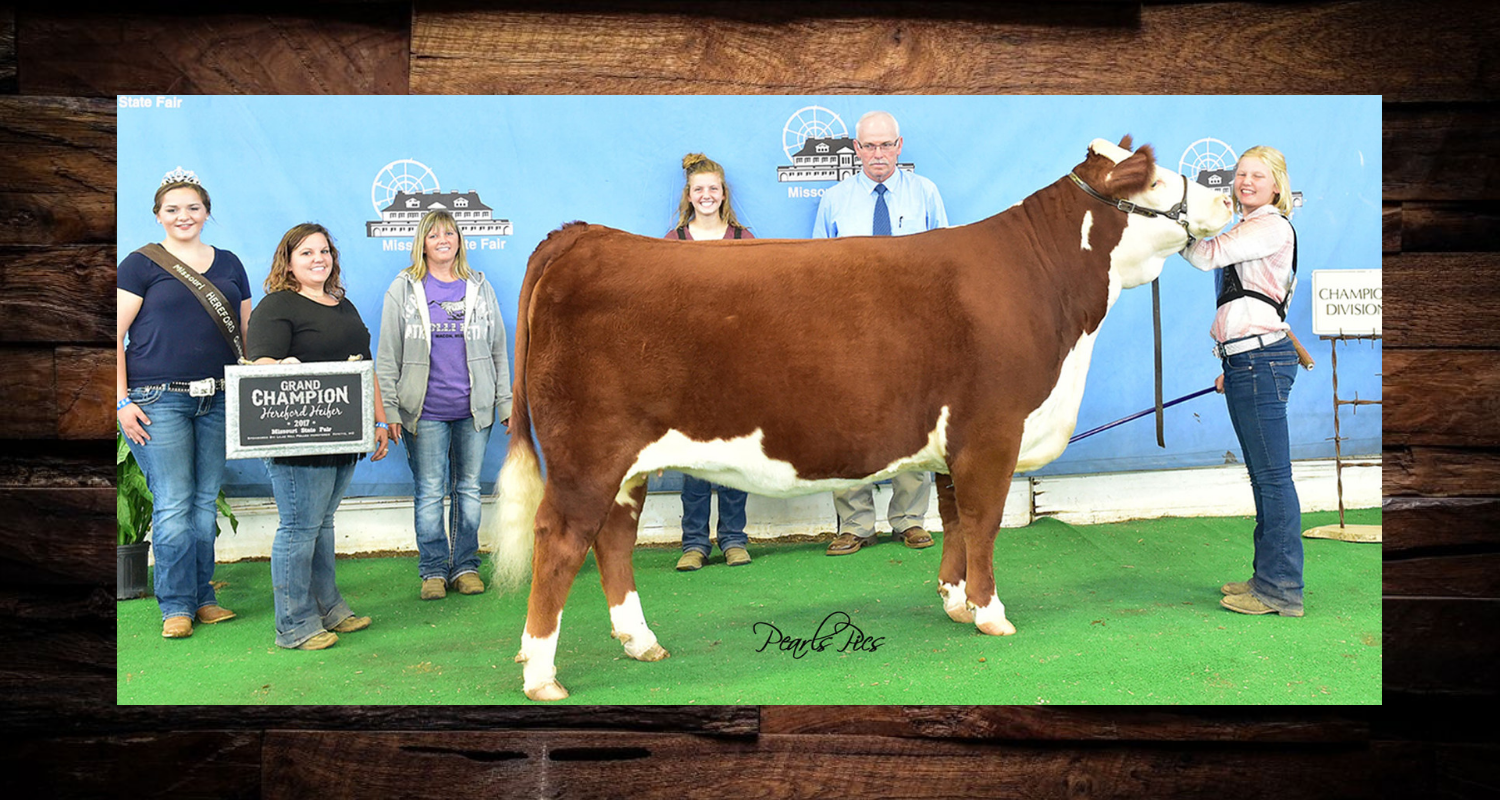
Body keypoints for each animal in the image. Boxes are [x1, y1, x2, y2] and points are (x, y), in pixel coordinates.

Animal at [487, 137, 1234, 701]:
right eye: (1160, 179)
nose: (1226, 196)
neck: (1051, 293)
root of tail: (583, 237)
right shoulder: (992, 430)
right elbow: (986, 521)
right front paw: (992, 614)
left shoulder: (952, 443)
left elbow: (953, 518)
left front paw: (955, 601)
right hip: (588, 452)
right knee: (561, 538)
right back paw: (542, 674)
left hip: (626, 463)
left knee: (613, 537)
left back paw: (641, 642)